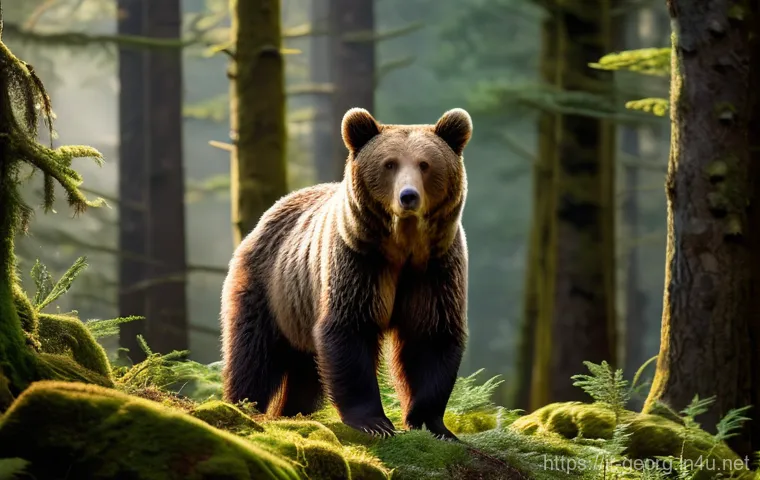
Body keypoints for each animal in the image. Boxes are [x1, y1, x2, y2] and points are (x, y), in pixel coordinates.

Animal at [220, 107, 472, 440]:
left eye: (425, 164)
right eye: (389, 163)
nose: (408, 196)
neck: (403, 247)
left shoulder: (435, 269)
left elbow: (430, 337)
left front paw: (432, 424)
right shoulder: (359, 261)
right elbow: (350, 328)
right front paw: (375, 422)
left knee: (304, 370)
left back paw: (292, 410)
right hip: (269, 287)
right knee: (253, 353)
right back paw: (244, 405)